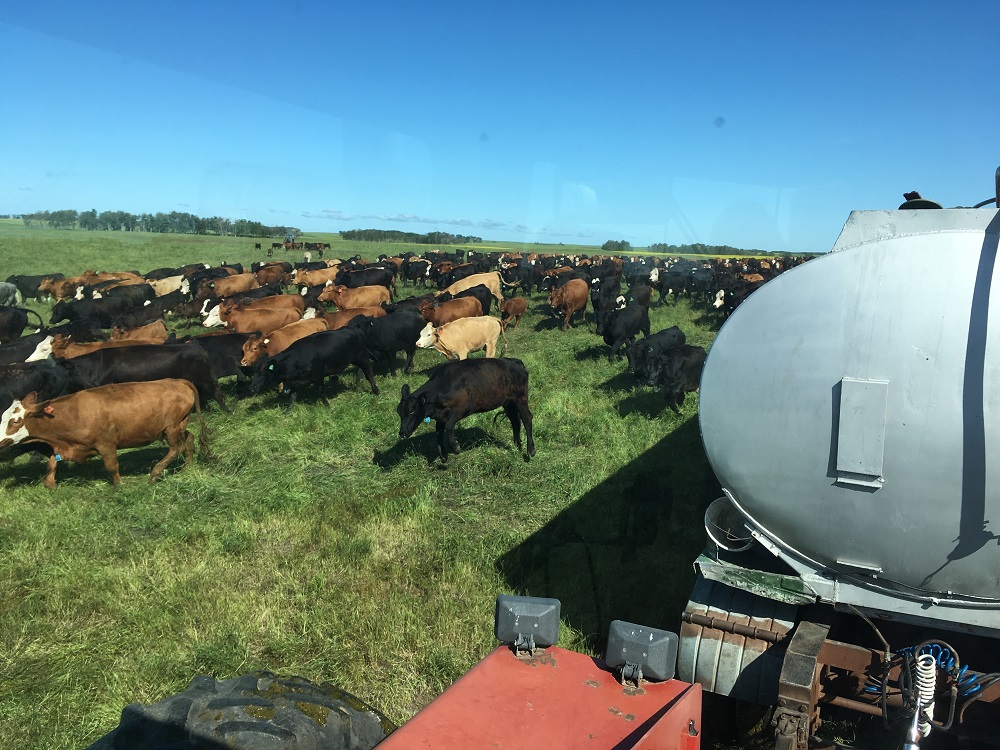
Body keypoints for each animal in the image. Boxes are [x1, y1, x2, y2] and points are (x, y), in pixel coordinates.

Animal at [0, 382, 207, 488]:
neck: (73, 413)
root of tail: (178, 381)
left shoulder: (106, 443)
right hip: (179, 426)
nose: (0, 441)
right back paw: (188, 467)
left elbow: (112, 466)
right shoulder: (64, 447)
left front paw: (119, 486)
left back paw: (155, 473)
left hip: (171, 428)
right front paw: (50, 484)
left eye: (15, 421)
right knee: (188, 439)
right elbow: (51, 463)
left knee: (175, 448)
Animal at [249, 328, 378, 408]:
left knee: (369, 373)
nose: (252, 388)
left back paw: (376, 391)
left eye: (264, 371)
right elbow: (292, 397)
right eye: (254, 371)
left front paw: (328, 406)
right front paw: (288, 411)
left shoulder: (318, 376)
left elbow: (321, 392)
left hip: (362, 357)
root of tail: (355, 329)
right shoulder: (295, 382)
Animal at [394, 358, 536, 464]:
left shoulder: (463, 408)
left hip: (520, 398)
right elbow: (438, 434)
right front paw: (443, 455)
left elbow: (449, 425)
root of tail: (515, 361)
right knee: (515, 421)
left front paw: (456, 447)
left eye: (412, 411)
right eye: (399, 413)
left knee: (527, 419)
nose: (402, 433)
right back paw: (517, 445)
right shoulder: (440, 416)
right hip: (508, 403)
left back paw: (530, 450)